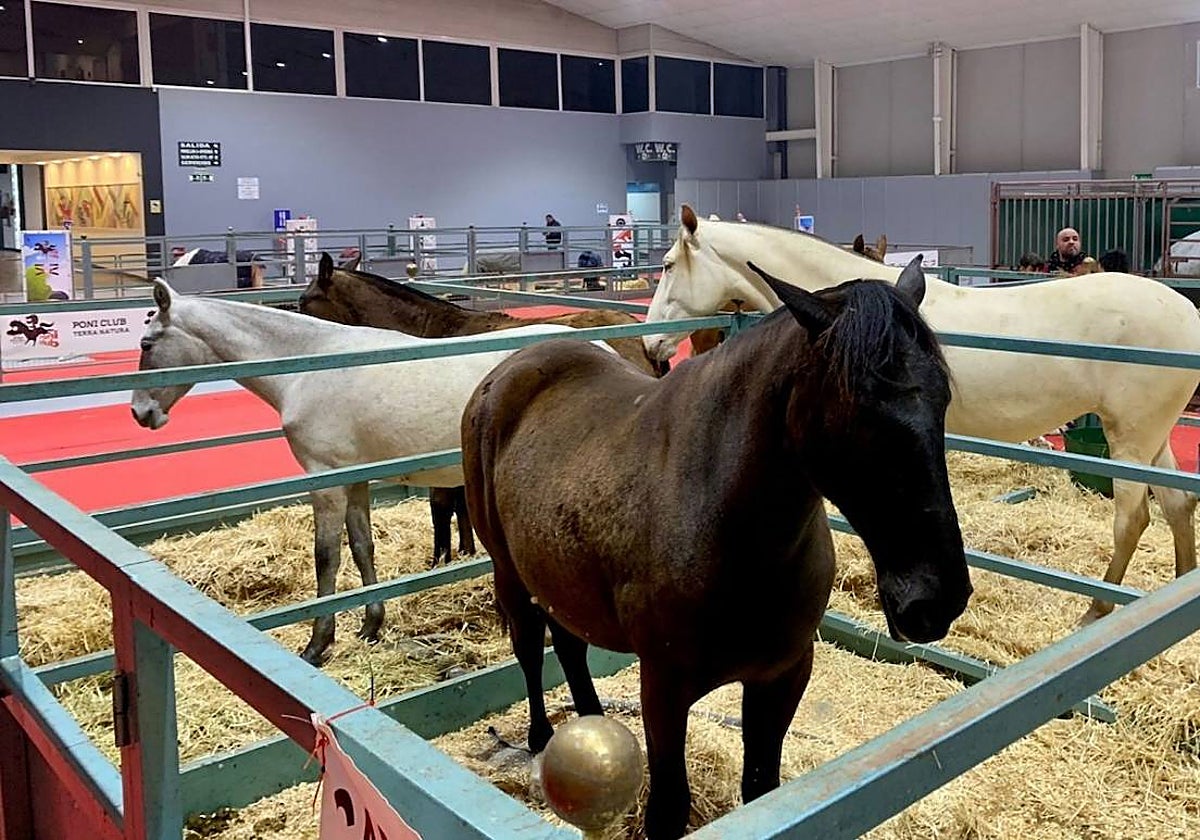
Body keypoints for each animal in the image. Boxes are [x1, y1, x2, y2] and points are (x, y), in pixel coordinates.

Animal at [130, 279, 598, 665]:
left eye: (147, 344)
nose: (139, 413)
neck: (309, 367)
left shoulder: (326, 482)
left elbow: (326, 557)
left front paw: (318, 643)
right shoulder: (353, 479)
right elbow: (361, 548)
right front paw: (371, 624)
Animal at [297, 253, 669, 566]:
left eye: (304, 301)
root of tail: (643, 341)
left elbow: (441, 506)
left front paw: (441, 559)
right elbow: (462, 504)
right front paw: (465, 549)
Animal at [461, 257, 971, 840]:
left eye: (942, 399)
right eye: (859, 412)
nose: (936, 599)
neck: (730, 531)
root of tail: (510, 369)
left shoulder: (782, 676)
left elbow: (761, 789)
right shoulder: (663, 688)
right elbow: (668, 808)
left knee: (569, 643)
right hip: (509, 572)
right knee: (529, 647)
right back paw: (542, 738)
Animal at [642, 205, 1200, 625]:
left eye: (667, 264)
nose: (652, 349)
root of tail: (1186, 312)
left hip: (1130, 438)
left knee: (1133, 518)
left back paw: (1096, 609)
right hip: (1154, 437)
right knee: (1177, 505)